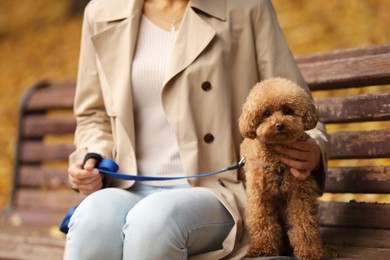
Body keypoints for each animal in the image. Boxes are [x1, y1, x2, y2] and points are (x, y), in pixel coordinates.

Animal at [239, 77, 324, 260]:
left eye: (287, 110)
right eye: (266, 114)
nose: (279, 125)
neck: (278, 162)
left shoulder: (299, 194)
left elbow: (303, 223)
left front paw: (310, 252)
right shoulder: (260, 196)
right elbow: (263, 222)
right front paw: (262, 249)